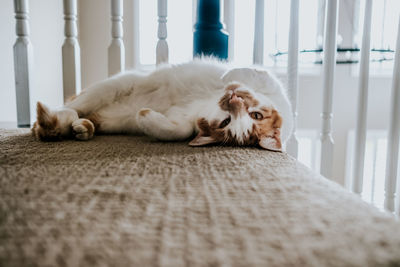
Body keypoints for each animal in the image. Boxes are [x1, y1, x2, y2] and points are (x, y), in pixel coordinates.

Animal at [32, 59, 294, 152]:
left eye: (226, 123)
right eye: (256, 115)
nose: (233, 99)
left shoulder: (186, 119)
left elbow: (179, 130)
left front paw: (147, 117)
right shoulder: (272, 85)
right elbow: (253, 73)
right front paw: (228, 76)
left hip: (109, 118)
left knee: (73, 118)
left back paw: (76, 128)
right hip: (112, 86)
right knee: (71, 106)